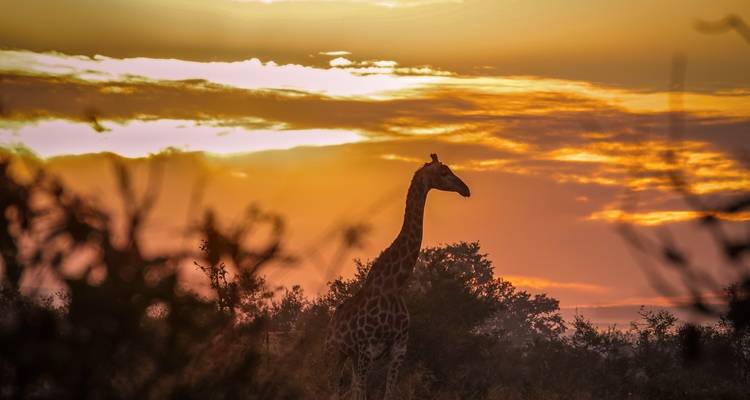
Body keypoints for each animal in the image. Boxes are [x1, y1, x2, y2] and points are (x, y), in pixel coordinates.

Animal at [325, 153, 471, 400]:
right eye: (444, 172)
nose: (465, 189)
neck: (394, 284)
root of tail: (332, 320)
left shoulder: (398, 349)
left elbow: (388, 393)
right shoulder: (367, 348)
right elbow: (363, 392)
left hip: (353, 356)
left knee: (349, 387)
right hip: (337, 352)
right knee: (334, 387)